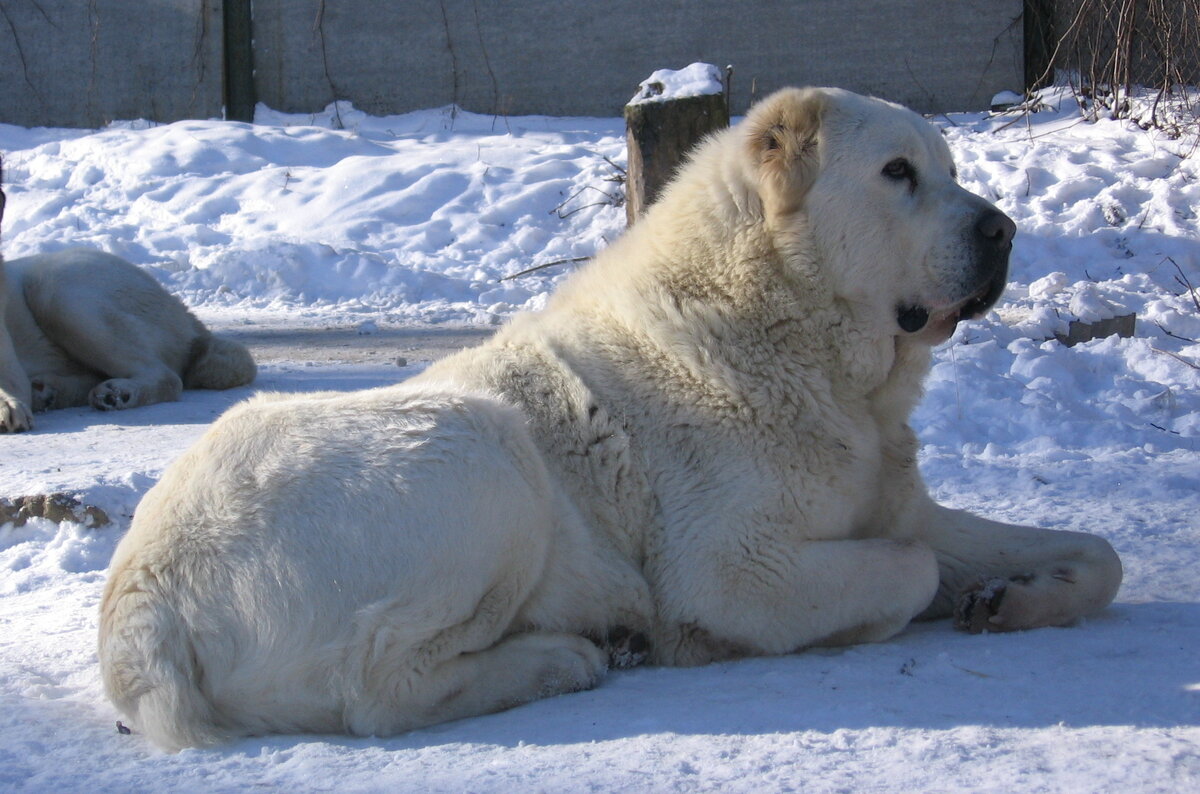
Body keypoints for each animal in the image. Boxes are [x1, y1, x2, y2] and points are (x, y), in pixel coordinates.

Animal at [98, 88, 1118, 753]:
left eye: (950, 171)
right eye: (898, 173)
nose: (1003, 230)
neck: (790, 326)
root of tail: (140, 598)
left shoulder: (897, 505)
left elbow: (1096, 554)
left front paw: (1015, 595)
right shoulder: (732, 571)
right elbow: (907, 571)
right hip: (478, 449)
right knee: (380, 692)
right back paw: (567, 659)